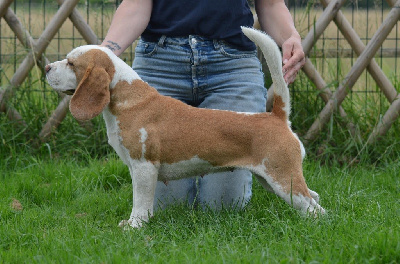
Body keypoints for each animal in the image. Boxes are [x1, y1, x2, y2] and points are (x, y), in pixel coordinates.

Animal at [46, 27, 324, 229]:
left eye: (71, 63)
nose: (47, 67)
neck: (127, 98)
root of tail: (277, 117)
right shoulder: (137, 168)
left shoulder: (144, 167)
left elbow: (140, 203)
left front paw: (135, 227)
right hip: (272, 179)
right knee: (315, 199)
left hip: (283, 179)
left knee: (314, 208)